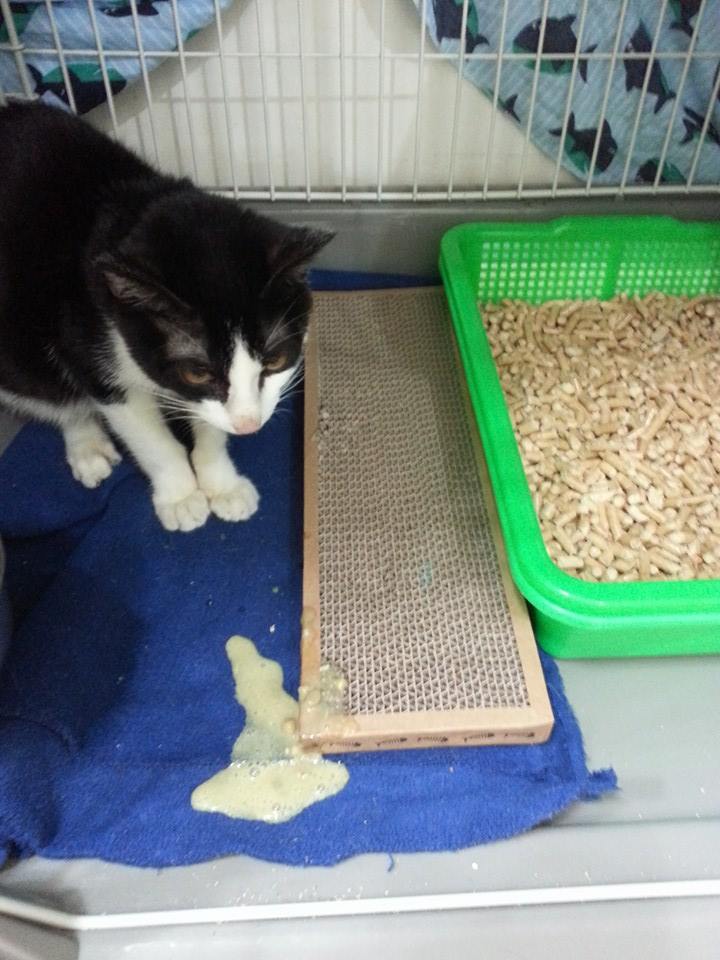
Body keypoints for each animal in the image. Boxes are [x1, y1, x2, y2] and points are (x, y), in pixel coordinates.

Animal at [0, 101, 332, 531]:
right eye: (197, 372)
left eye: (275, 359)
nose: (249, 425)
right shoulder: (86, 339)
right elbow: (145, 432)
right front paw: (180, 495)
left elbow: (208, 420)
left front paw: (221, 482)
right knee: (48, 389)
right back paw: (86, 444)